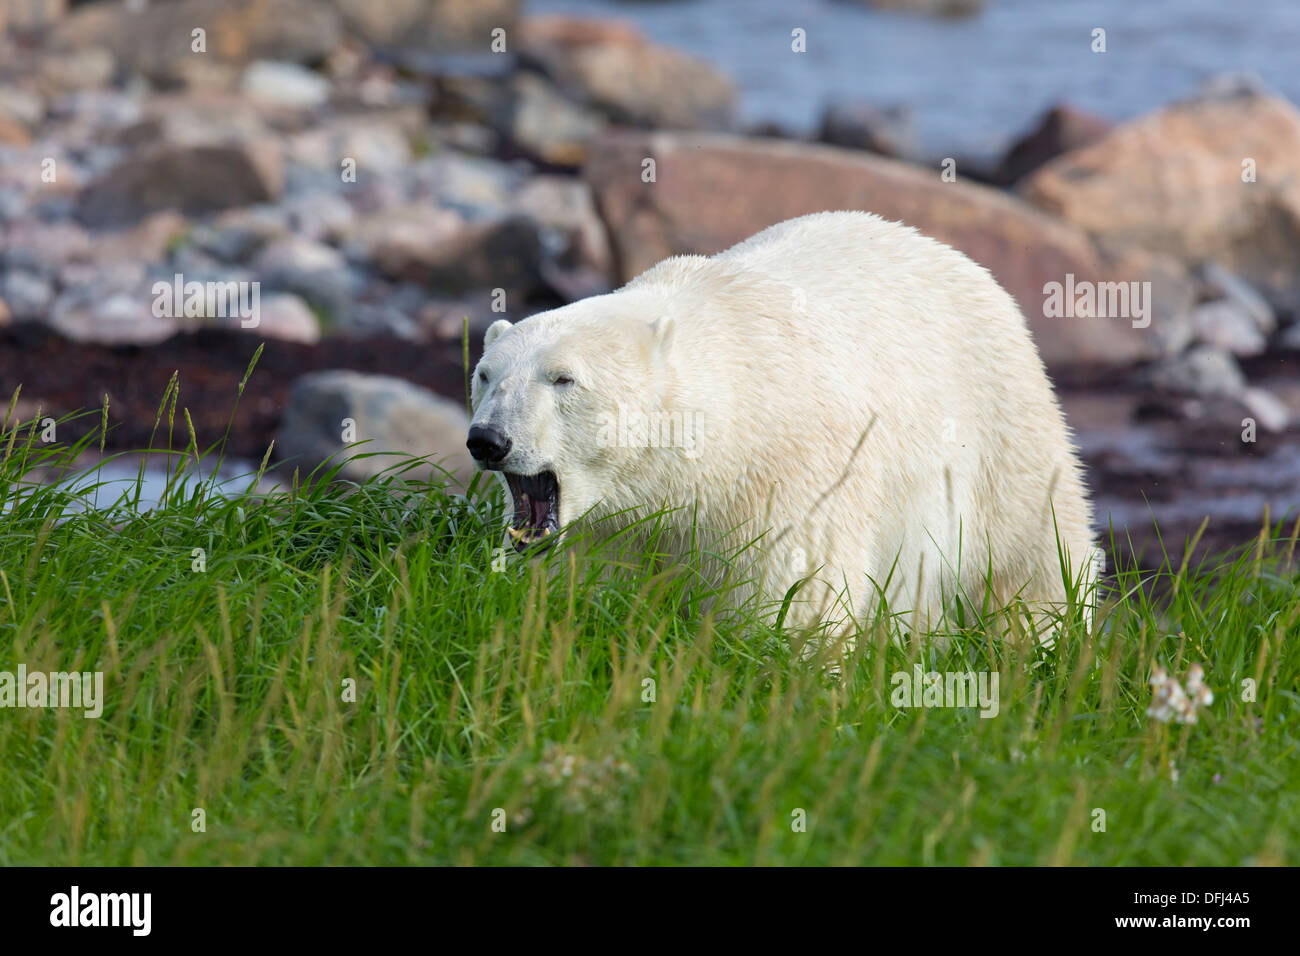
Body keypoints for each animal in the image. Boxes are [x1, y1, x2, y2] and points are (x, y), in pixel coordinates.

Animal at [467, 213, 1097, 639]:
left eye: (563, 379)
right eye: (485, 374)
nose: (488, 440)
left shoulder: (789, 470)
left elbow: (795, 590)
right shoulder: (609, 524)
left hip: (1000, 429)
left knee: (1035, 554)